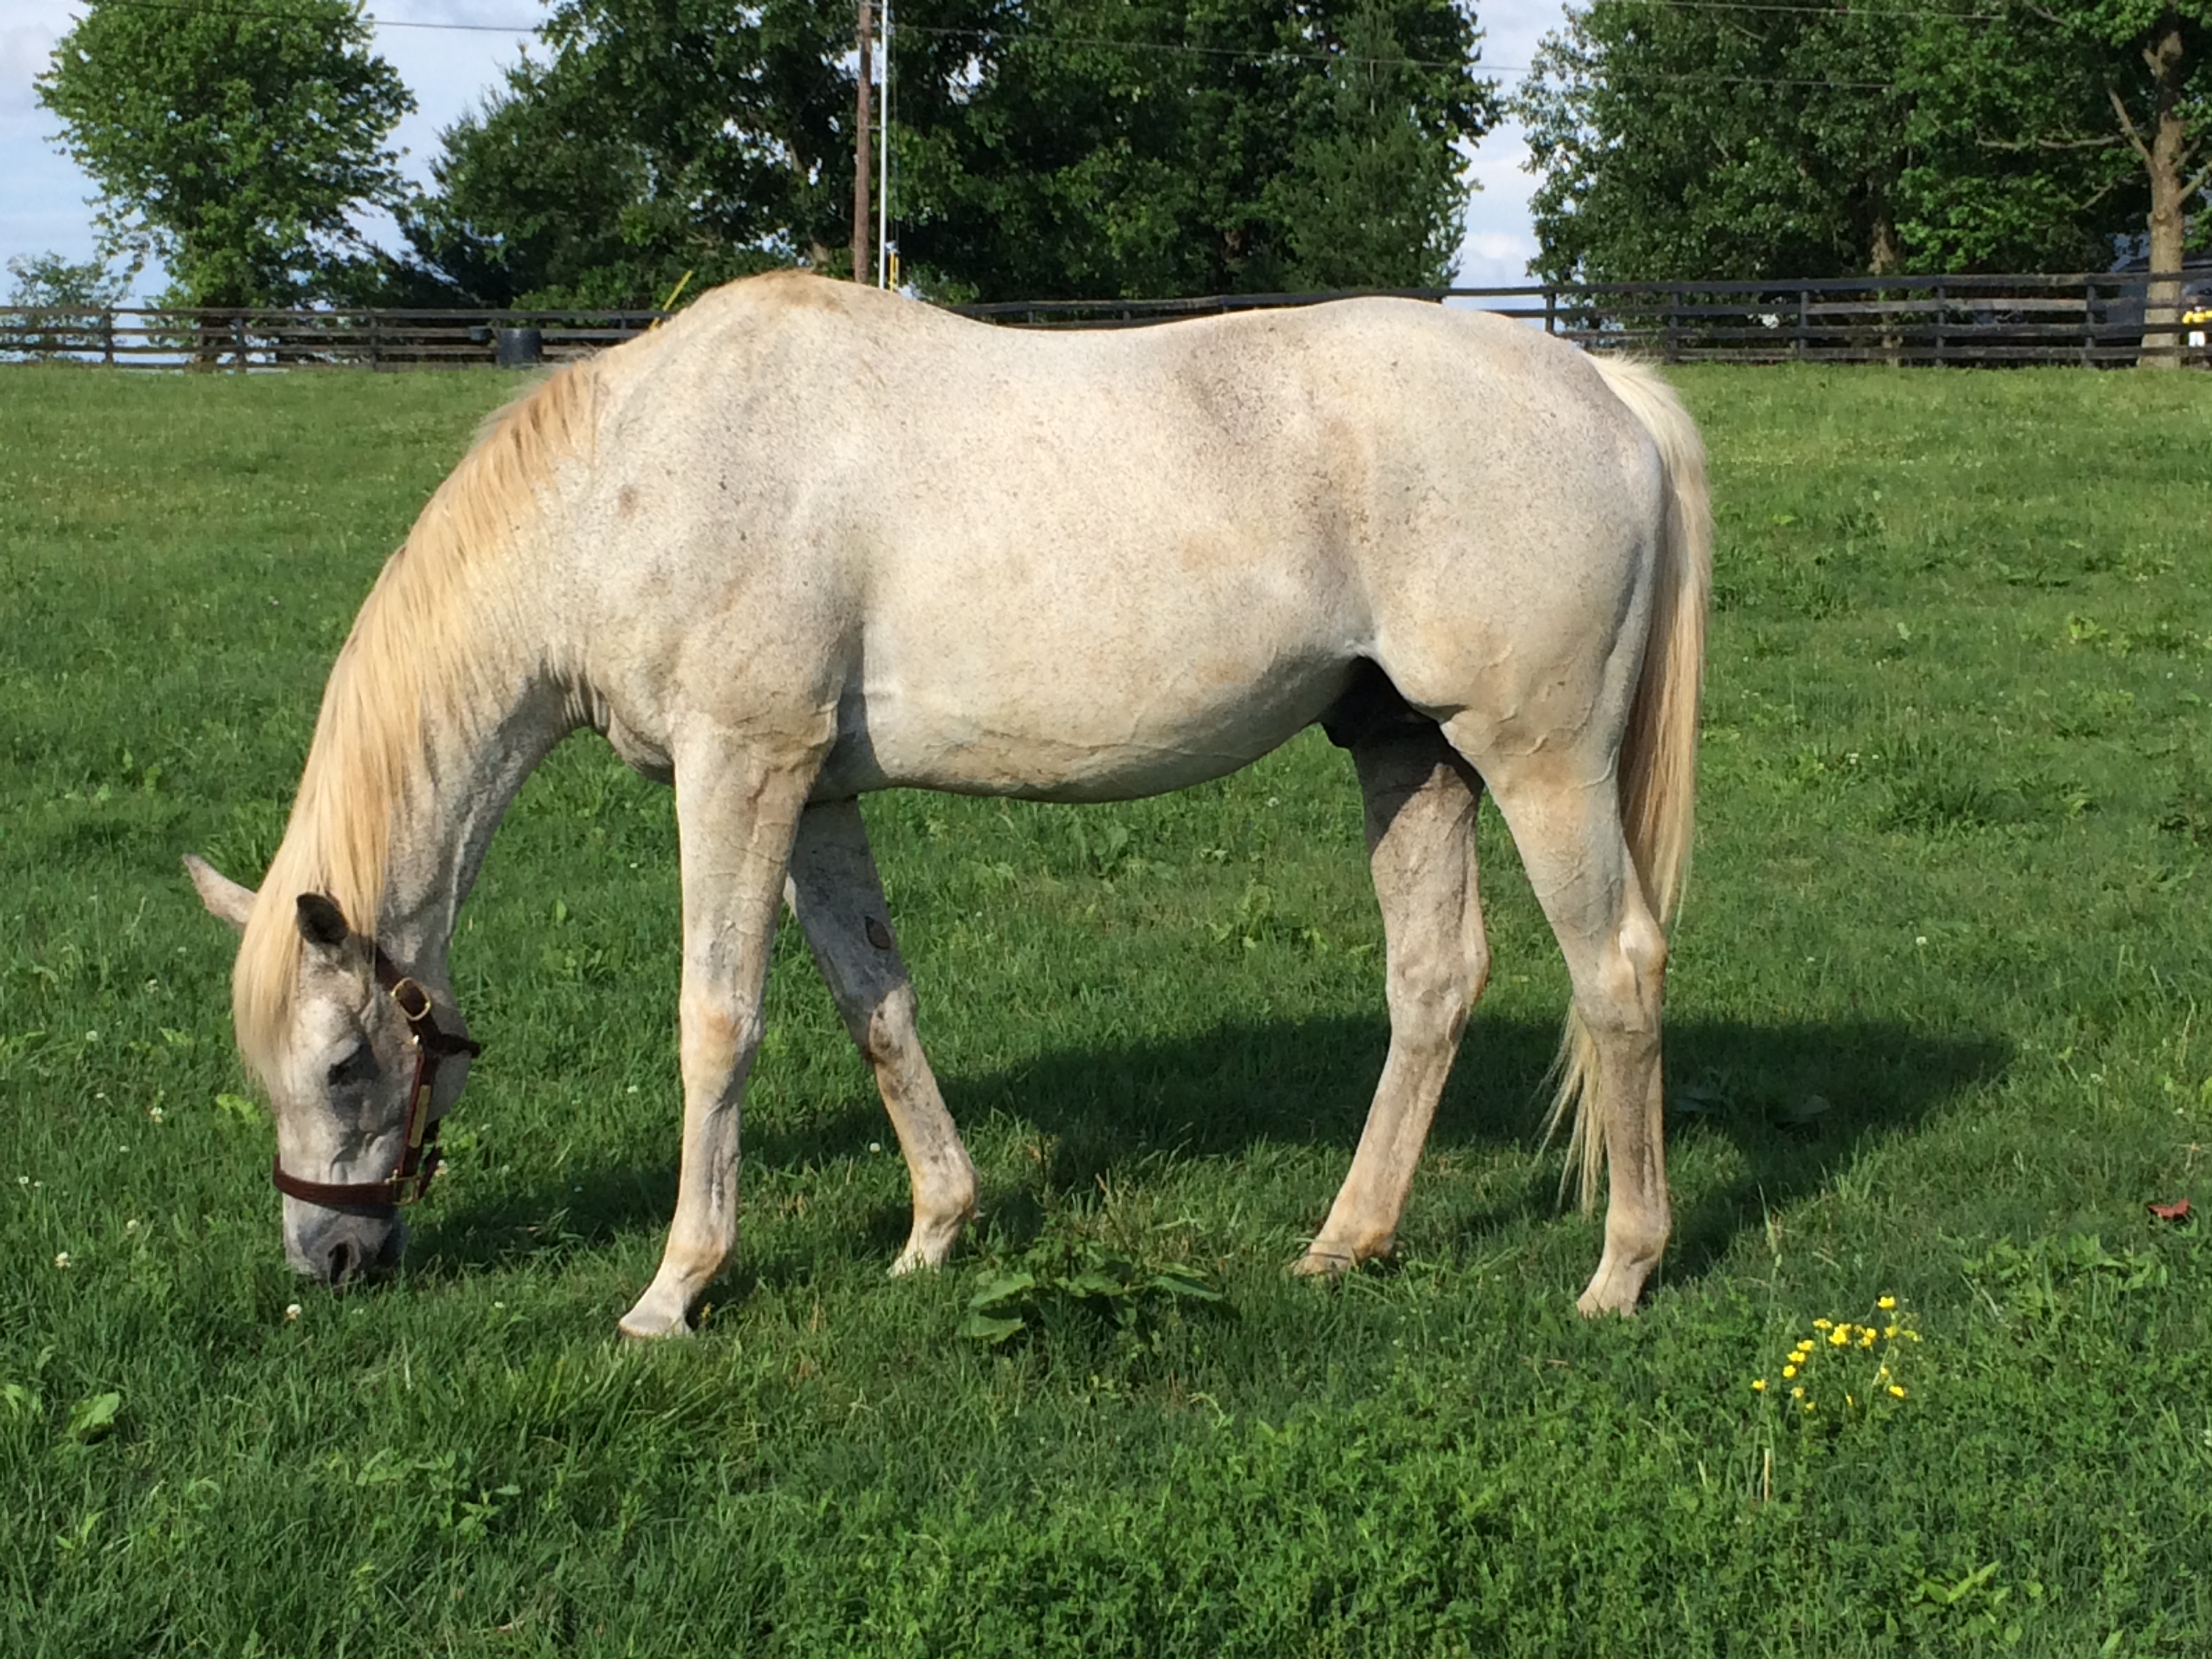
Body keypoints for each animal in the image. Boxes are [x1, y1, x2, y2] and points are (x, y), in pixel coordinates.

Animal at [186, 273, 1707, 1336]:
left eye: (345, 1064)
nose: (328, 1259)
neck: (628, 482)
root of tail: (1603, 387)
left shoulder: (738, 770)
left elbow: (717, 1022)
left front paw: (675, 1288)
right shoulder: (809, 793)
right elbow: (876, 1001)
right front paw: (934, 1232)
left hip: (1538, 758)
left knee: (1618, 969)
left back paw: (1620, 1271)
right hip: (1404, 751)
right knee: (1433, 980)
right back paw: (1347, 1241)